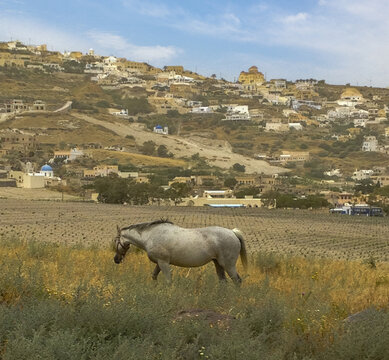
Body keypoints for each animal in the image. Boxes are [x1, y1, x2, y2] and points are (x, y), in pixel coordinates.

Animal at [112, 219, 247, 284]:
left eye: (115, 241)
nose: (116, 259)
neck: (150, 236)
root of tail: (233, 232)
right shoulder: (159, 263)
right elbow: (154, 276)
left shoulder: (163, 263)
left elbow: (168, 281)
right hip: (218, 264)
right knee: (223, 282)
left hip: (228, 265)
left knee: (237, 281)